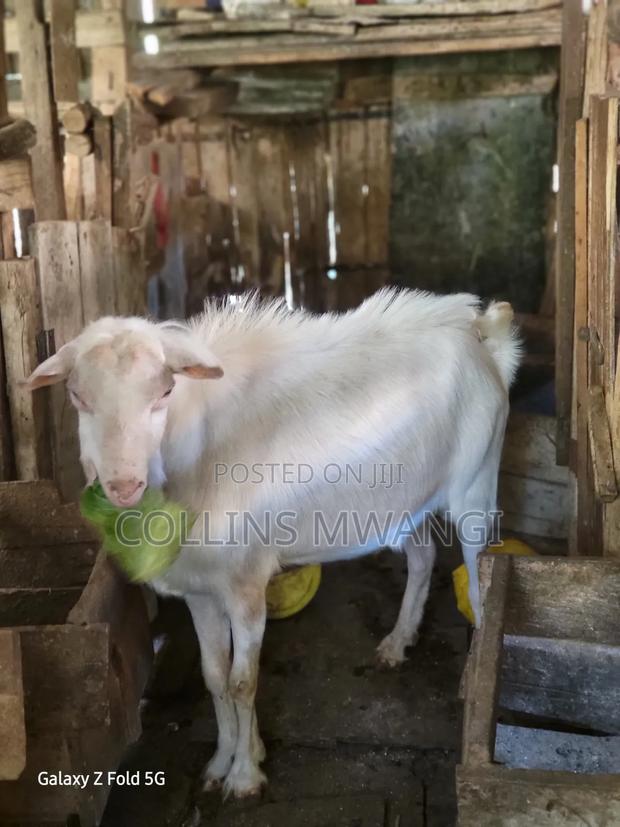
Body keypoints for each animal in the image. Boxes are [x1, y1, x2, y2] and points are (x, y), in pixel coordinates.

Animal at [26, 288, 519, 798]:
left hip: (476, 483)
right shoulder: (200, 588)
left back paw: (470, 674)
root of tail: (481, 329)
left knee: (478, 582)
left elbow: (243, 681)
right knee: (422, 558)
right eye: (78, 397)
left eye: (164, 393)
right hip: (406, 499)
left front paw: (244, 776)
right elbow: (215, 677)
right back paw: (398, 642)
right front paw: (222, 761)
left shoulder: (244, 583)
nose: (123, 486)